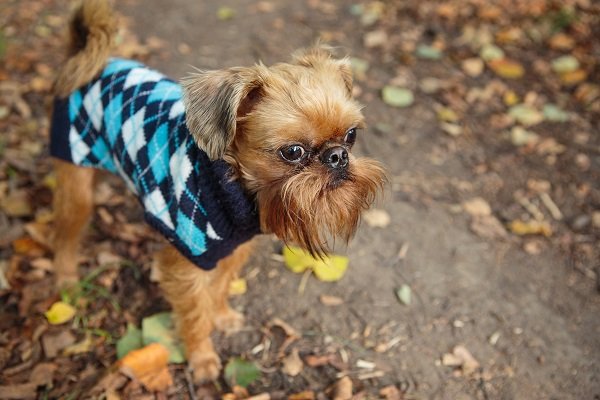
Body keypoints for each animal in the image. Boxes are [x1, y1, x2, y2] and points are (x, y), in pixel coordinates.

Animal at [50, 0, 384, 382]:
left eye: (351, 136)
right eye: (293, 152)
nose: (337, 156)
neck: (232, 184)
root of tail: (86, 55)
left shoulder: (235, 247)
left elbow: (221, 285)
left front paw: (221, 316)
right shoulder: (188, 261)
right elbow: (196, 309)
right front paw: (202, 356)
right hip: (75, 173)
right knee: (66, 230)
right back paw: (66, 279)